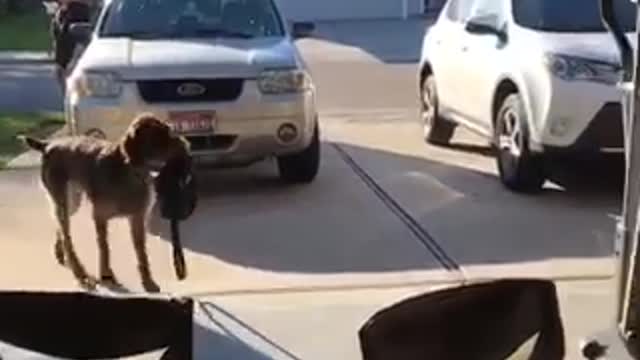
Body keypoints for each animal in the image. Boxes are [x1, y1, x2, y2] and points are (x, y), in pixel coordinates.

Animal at [20, 115, 189, 292]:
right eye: (158, 136)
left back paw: (60, 253)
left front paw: (148, 281)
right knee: (67, 238)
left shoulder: (137, 219)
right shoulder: (100, 217)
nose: (186, 144)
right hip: (63, 201)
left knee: (59, 226)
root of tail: (47, 145)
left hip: (72, 201)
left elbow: (141, 254)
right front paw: (107, 275)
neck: (130, 170)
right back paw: (81, 274)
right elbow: (104, 248)